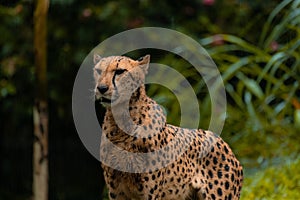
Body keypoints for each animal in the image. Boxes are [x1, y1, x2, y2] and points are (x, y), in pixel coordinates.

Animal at [94, 54, 244, 199]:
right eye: (98, 71)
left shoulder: (150, 193)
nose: (101, 88)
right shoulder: (116, 191)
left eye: (120, 71)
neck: (121, 123)